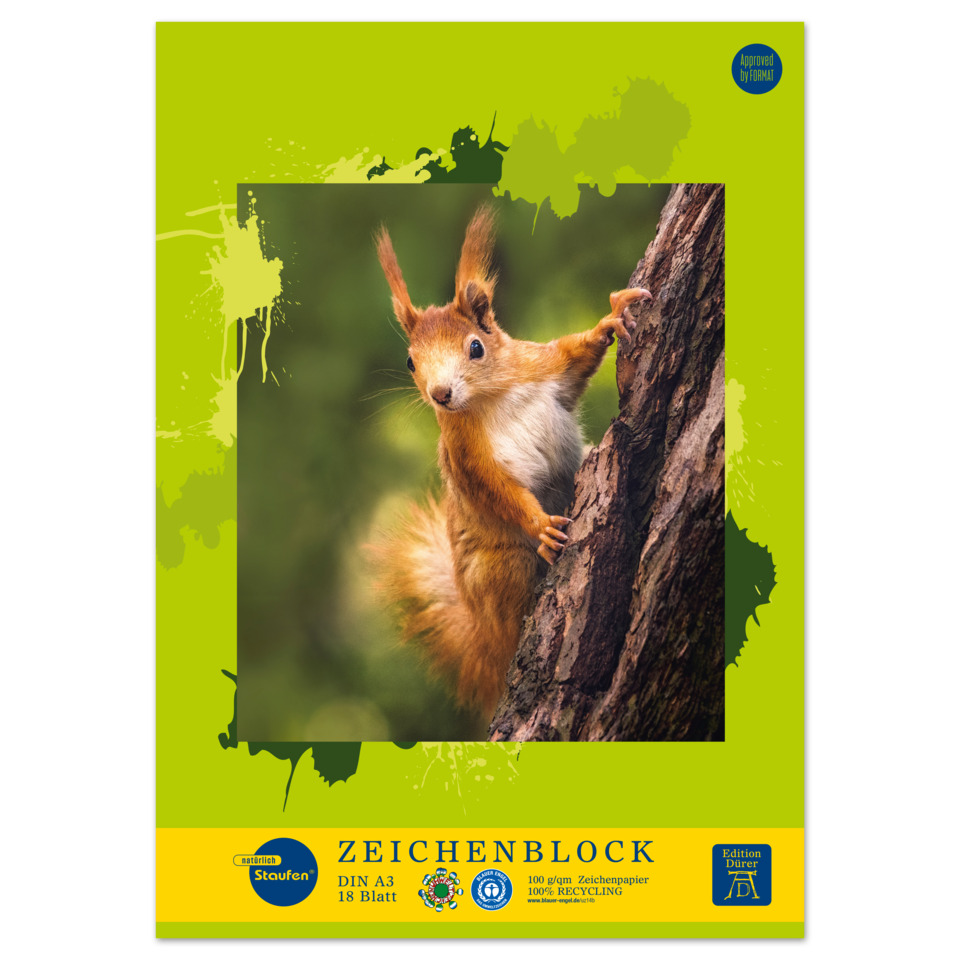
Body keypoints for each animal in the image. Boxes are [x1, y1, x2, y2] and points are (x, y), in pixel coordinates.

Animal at [371, 206, 652, 717]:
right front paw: (541, 526)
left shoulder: (544, 366)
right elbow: (498, 492)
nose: (440, 395)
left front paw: (611, 318)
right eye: (410, 362)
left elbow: (576, 354)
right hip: (499, 571)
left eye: (476, 347)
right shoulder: (467, 458)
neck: (490, 398)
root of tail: (485, 637)